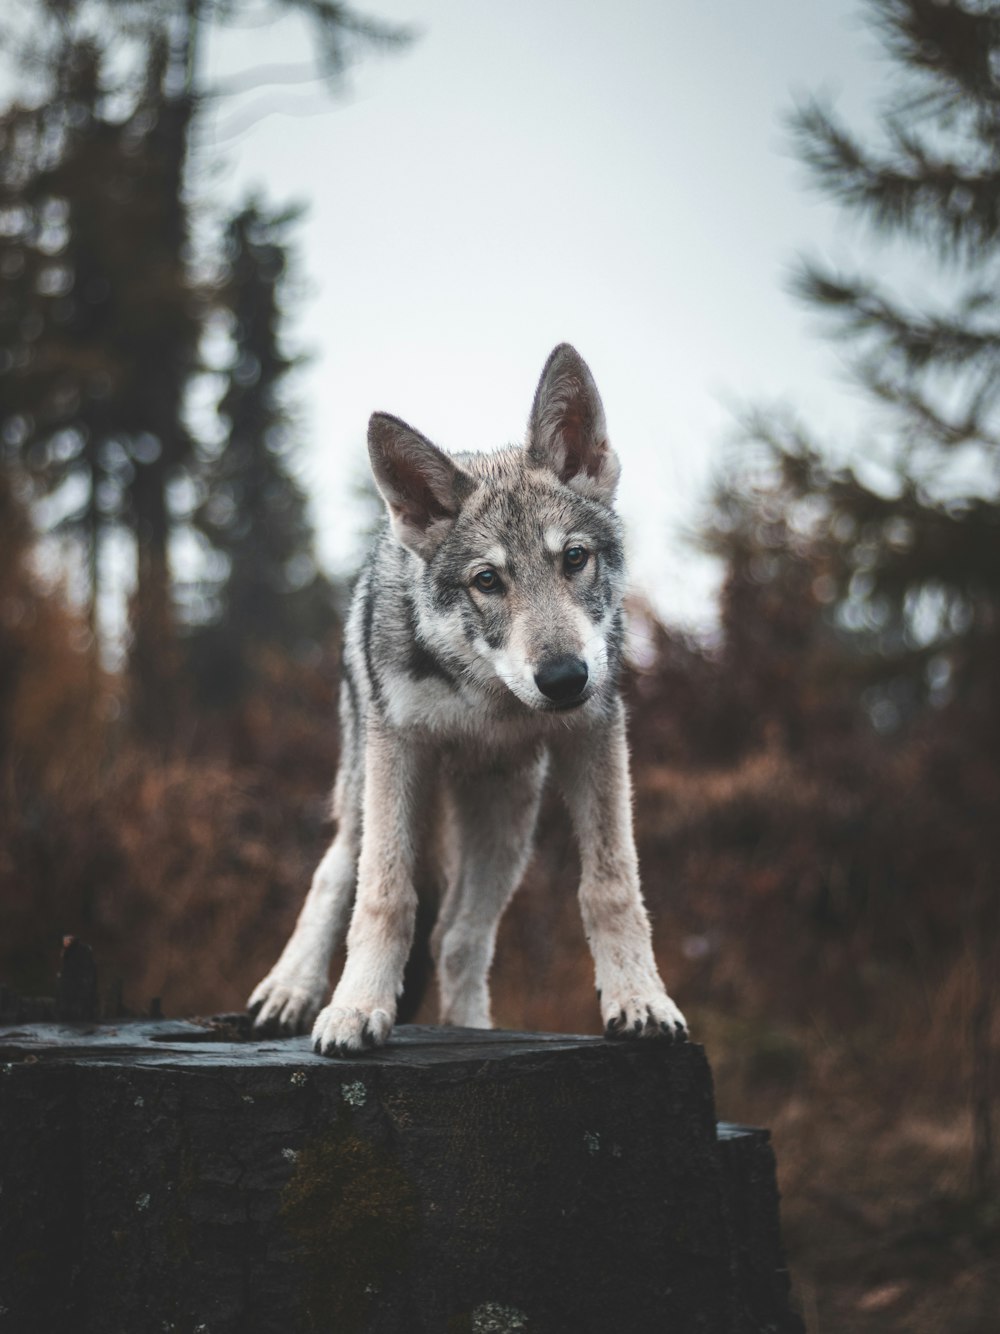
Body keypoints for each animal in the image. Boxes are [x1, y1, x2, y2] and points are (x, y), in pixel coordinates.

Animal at [249, 341, 688, 1051]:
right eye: (488, 580)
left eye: (574, 559)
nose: (564, 678)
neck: (488, 698)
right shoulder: (398, 751)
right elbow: (383, 895)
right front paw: (355, 1009)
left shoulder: (594, 733)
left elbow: (611, 885)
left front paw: (640, 1000)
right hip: (366, 783)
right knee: (337, 869)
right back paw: (288, 990)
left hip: (507, 824)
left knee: (457, 936)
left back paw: (472, 1027)